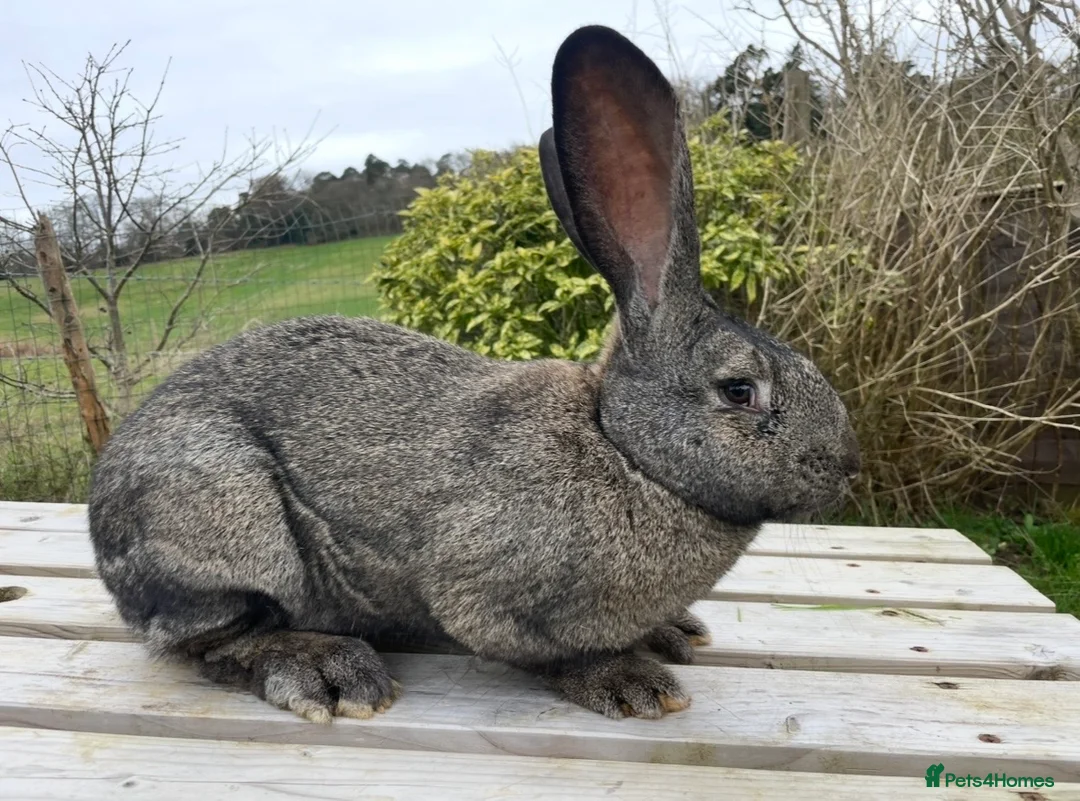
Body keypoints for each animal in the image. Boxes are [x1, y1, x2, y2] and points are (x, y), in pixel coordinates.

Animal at [87, 24, 860, 724]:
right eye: (739, 390)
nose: (847, 464)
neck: (625, 451)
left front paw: (667, 633)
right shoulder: (485, 595)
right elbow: (542, 651)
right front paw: (627, 680)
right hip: (225, 522)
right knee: (208, 642)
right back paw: (326, 671)